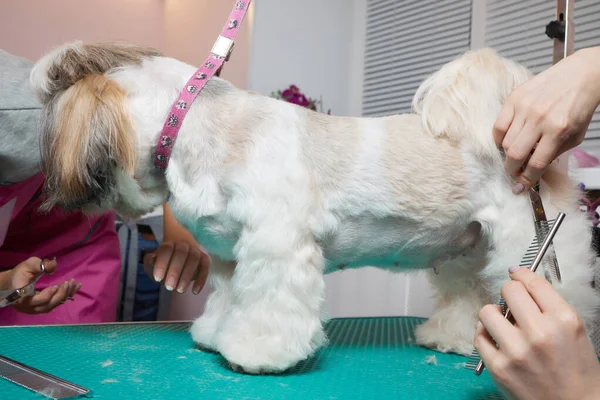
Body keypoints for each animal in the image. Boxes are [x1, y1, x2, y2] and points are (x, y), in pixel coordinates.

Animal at [30, 40, 600, 372]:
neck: (199, 126)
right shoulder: (230, 259)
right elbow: (228, 300)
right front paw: (216, 335)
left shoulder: (277, 248)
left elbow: (267, 308)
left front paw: (257, 353)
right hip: (468, 251)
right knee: (468, 295)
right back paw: (453, 339)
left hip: (533, 245)